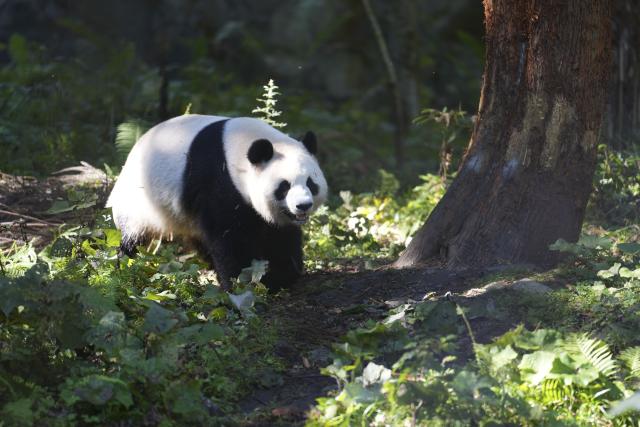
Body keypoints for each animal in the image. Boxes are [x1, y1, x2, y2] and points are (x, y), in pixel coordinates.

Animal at [106, 114, 328, 290]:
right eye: (284, 186)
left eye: (311, 183)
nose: (303, 205)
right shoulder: (218, 183)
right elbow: (229, 235)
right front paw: (241, 281)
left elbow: (281, 236)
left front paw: (283, 275)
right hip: (139, 204)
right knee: (134, 237)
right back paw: (124, 264)